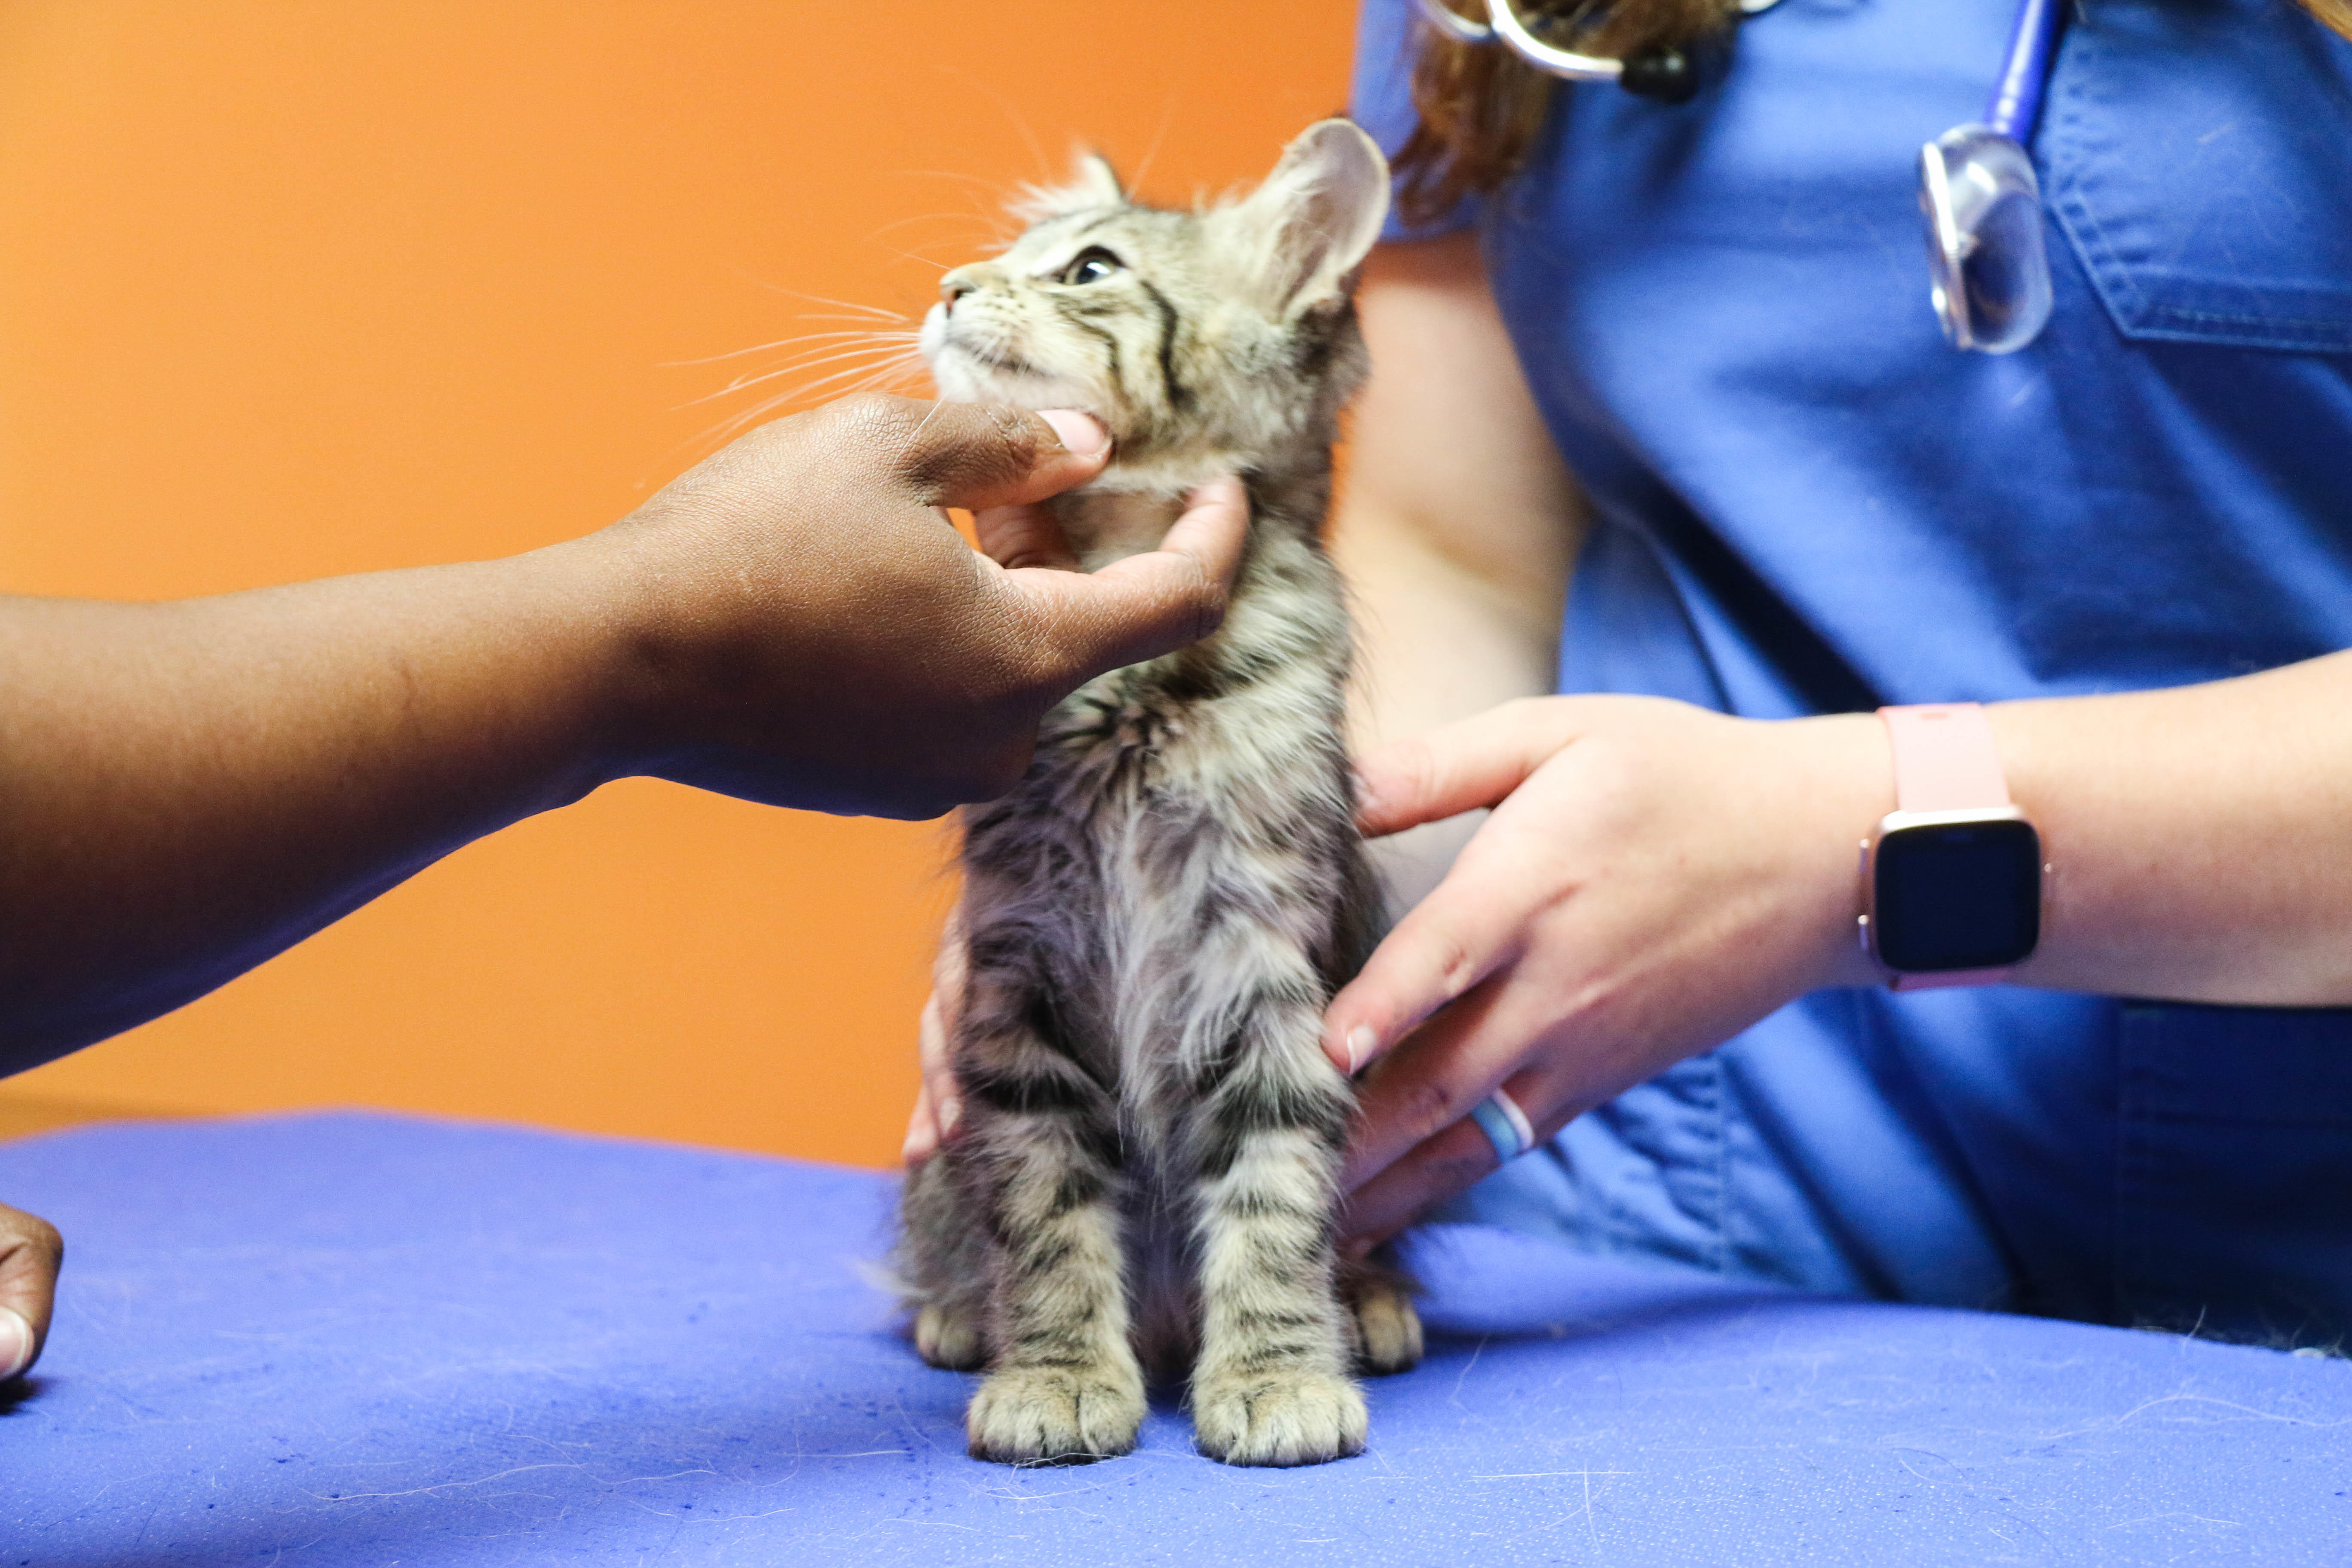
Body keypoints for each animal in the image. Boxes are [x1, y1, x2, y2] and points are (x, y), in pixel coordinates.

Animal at [894, 119, 1411, 1476]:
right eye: (1010, 258)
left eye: (1088, 269)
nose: (950, 287)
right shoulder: (1018, 969)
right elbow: (1045, 1207)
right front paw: (1056, 1372)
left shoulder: (1263, 960)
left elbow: (1274, 1193)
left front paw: (1279, 1374)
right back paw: (957, 1311)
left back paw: (1376, 1302)